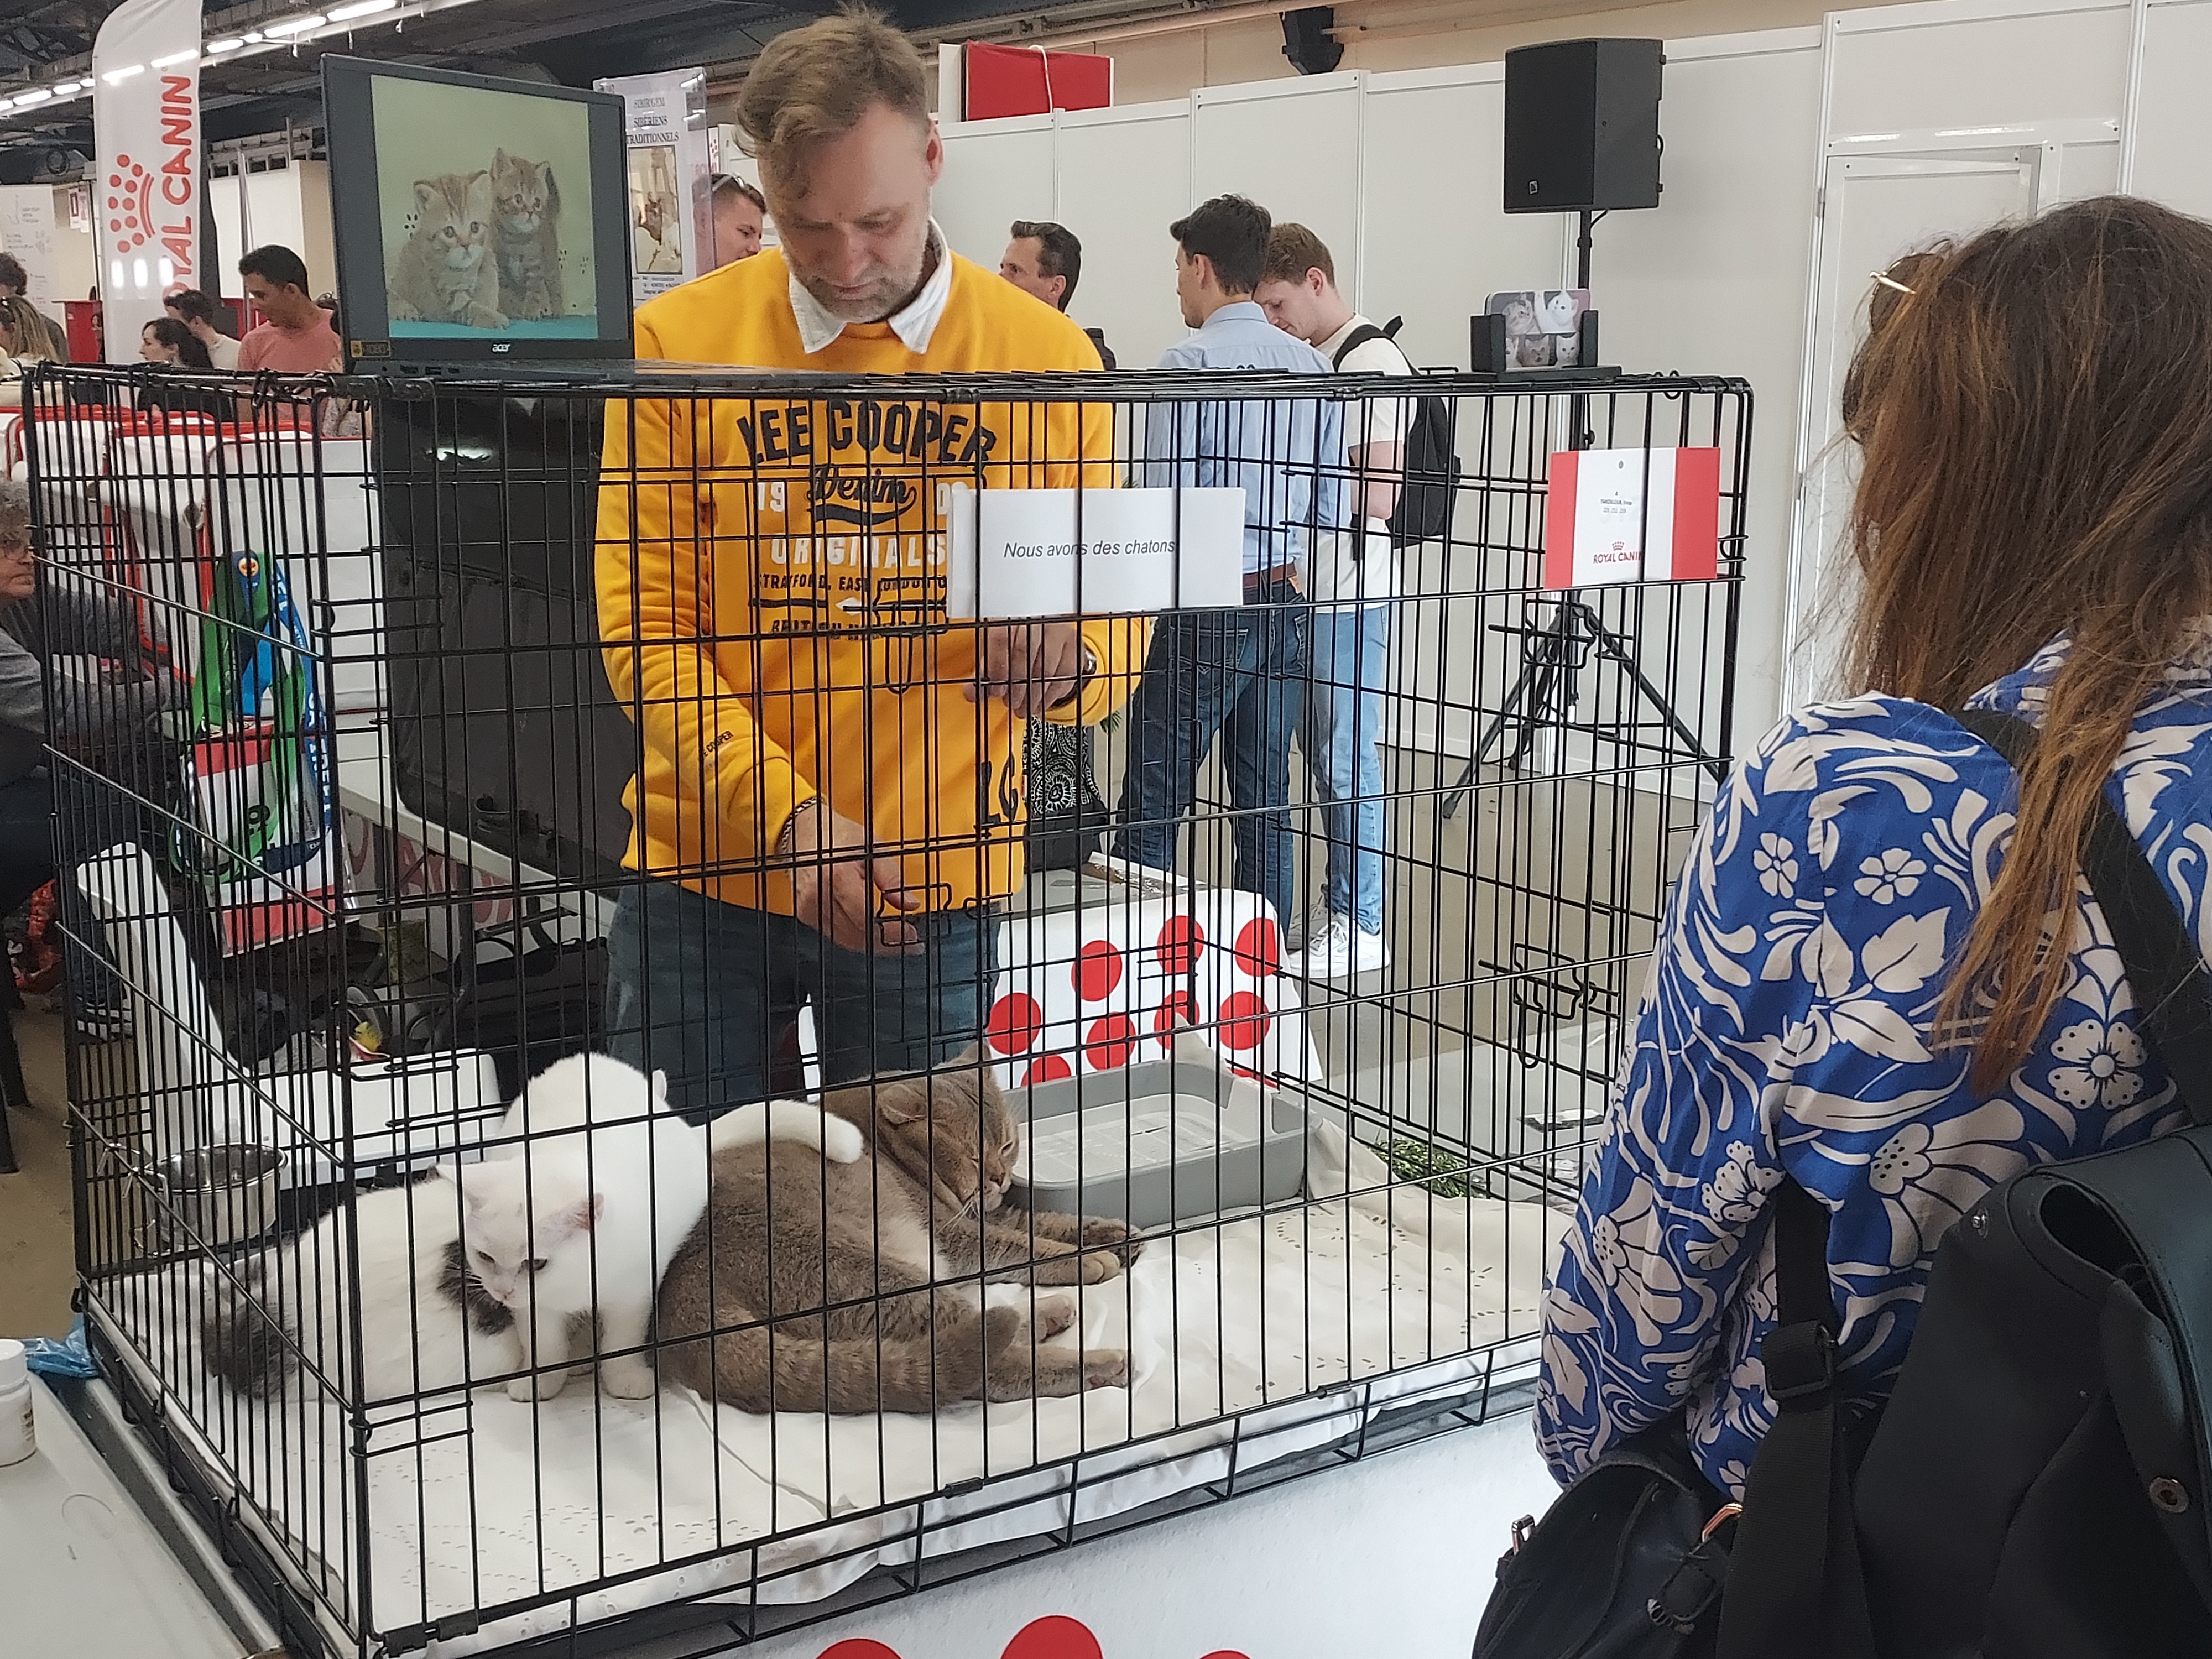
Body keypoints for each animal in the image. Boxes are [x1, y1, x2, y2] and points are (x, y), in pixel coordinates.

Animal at [392, 173, 511, 334]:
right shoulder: (446, 291)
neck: (467, 271)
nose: (466, 245)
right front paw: (492, 318)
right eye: (449, 231)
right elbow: (468, 306)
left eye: (475, 226)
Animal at [447, 1066, 863, 1407]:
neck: (575, 1282)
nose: (502, 1292)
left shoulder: (635, 1290)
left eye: (536, 1263)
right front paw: (543, 1380)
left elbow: (621, 1339)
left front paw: (624, 1379)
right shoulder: (535, 1308)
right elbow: (545, 1344)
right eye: (485, 1257)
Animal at [491, 149, 562, 325]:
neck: (515, 239)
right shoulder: (501, 268)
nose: (530, 212)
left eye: (537, 202)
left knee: (556, 287)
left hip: (551, 264)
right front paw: (510, 311)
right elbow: (506, 293)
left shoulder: (535, 266)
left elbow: (534, 291)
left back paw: (558, 311)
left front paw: (531, 311)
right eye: (518, 198)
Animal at [655, 1057, 1141, 1425]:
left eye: (1006, 1145)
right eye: (972, 1156)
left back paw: (1048, 1314)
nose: (1001, 1178)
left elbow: (1043, 1220)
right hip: (874, 1277)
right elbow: (1017, 1245)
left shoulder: (991, 1213)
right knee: (986, 1362)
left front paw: (1115, 1236)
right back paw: (1102, 1363)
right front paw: (1090, 1259)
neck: (887, 1144)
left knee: (983, 1324)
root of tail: (682, 1287)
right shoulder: (952, 1233)